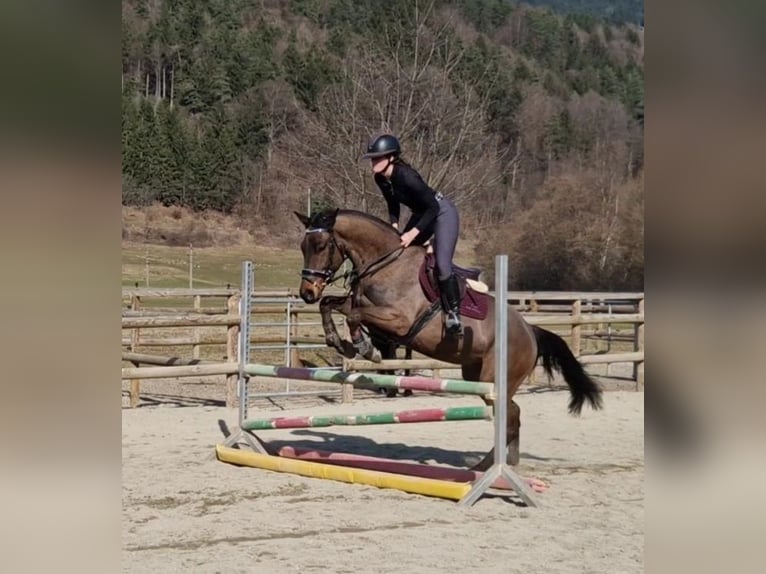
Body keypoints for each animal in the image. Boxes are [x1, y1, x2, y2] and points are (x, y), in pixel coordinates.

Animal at [293, 208, 602, 470]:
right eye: (302, 247)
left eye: (320, 246)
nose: (307, 293)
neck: (385, 263)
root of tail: (531, 331)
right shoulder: (359, 305)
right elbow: (332, 305)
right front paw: (339, 342)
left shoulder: (399, 320)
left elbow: (355, 318)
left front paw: (365, 348)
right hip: (477, 376)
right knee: (512, 414)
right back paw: (507, 463)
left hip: (494, 379)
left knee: (509, 418)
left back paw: (485, 468)